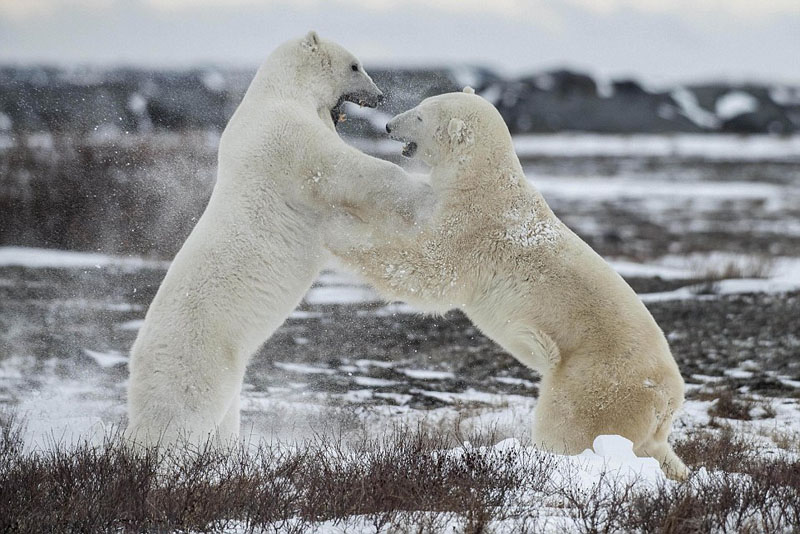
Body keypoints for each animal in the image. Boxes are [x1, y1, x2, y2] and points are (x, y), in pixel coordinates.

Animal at [126, 33, 434, 450]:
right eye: (355, 65)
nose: (380, 95)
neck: (280, 91)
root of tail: (136, 364)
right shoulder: (287, 136)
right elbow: (347, 171)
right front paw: (426, 192)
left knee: (223, 419)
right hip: (198, 359)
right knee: (181, 418)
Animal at [330, 89, 688, 482]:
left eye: (421, 116)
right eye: (420, 105)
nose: (390, 125)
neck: (482, 180)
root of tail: (670, 398)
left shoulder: (474, 228)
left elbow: (431, 273)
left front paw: (342, 236)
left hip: (595, 382)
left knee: (568, 427)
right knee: (655, 447)